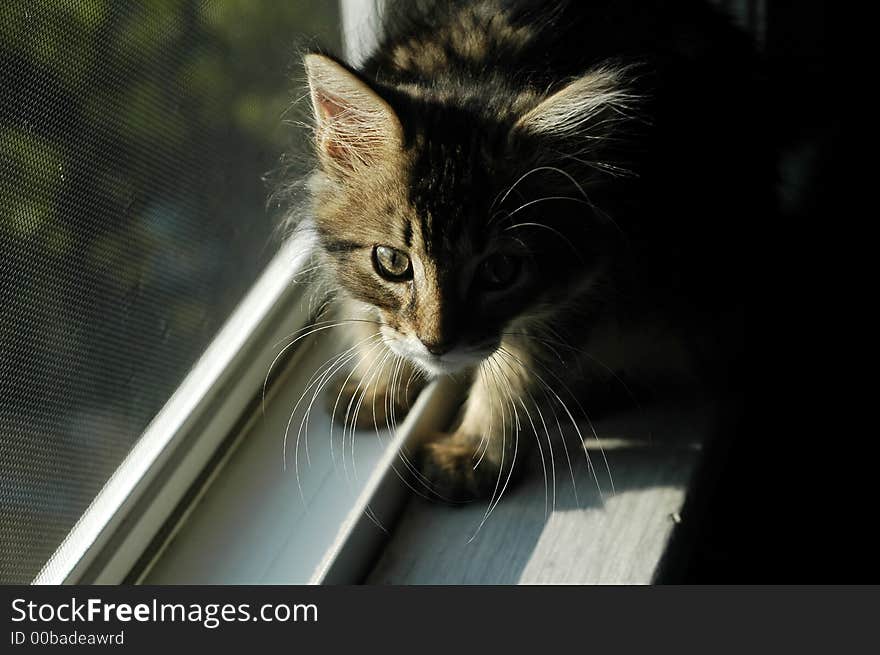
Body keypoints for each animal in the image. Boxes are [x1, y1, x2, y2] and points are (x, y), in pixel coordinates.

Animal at [298, 1, 768, 502]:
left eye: (500, 269)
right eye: (392, 263)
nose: (436, 345)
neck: (475, 67)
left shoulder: (586, 280)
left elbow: (514, 376)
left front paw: (472, 454)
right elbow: (368, 317)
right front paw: (379, 386)